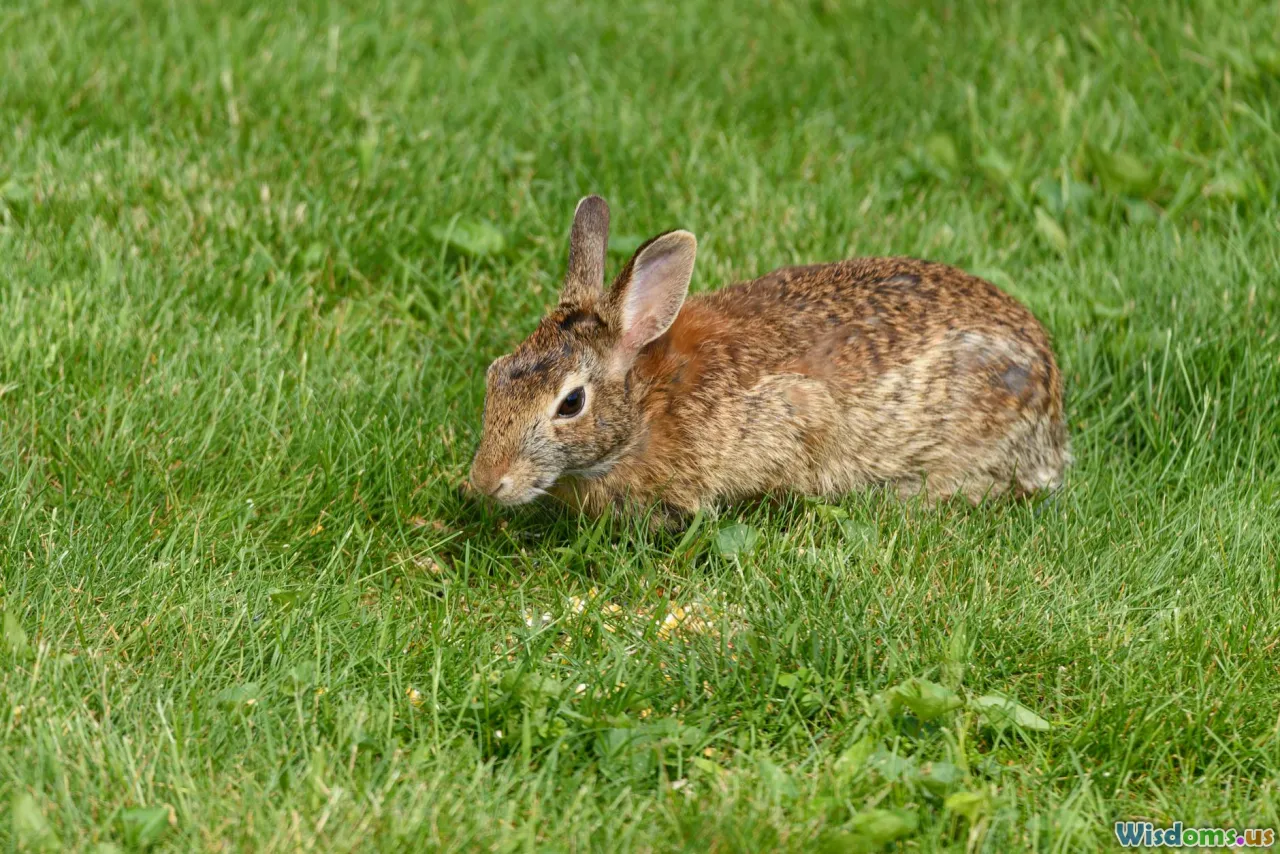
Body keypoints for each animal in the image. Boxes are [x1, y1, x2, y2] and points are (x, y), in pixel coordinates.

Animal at [469, 195, 1070, 521]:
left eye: (570, 403)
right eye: (494, 375)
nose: (485, 482)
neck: (648, 402)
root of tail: (1051, 401)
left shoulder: (795, 414)